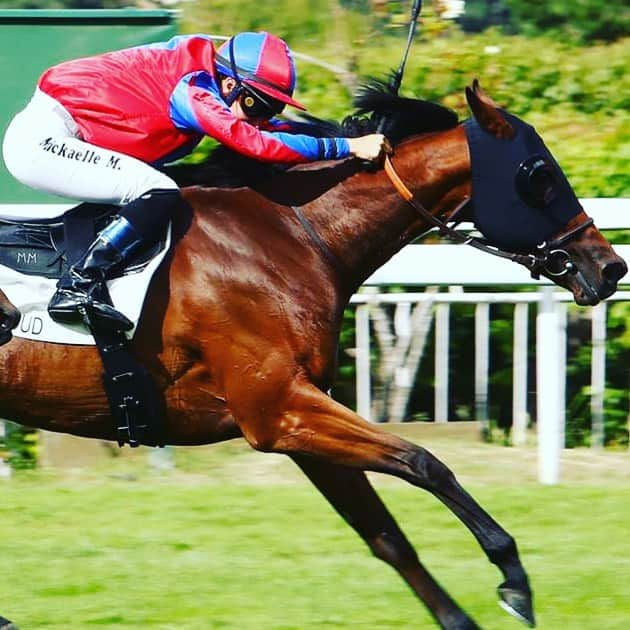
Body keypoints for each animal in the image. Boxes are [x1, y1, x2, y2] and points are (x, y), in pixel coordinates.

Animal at [0, 80, 628, 630]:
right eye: (539, 174)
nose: (610, 267)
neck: (293, 233)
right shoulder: (278, 409)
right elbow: (425, 461)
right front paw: (512, 576)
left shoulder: (300, 415)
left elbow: (387, 535)